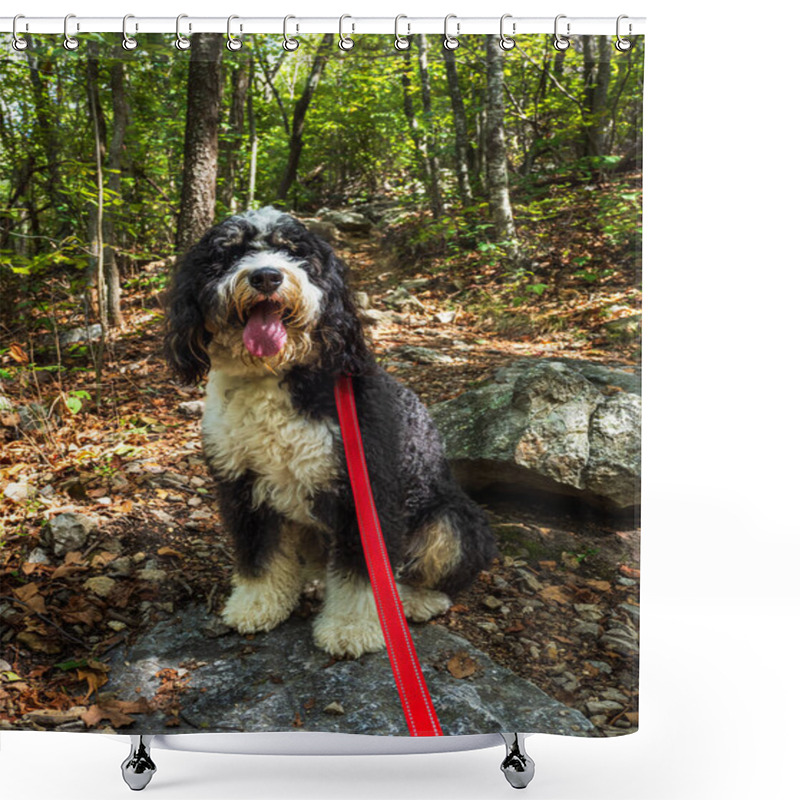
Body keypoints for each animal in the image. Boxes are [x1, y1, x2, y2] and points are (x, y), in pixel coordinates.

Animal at [166, 206, 496, 656]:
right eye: (230, 253)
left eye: (295, 251)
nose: (266, 277)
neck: (275, 376)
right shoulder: (242, 485)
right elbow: (258, 556)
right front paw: (257, 604)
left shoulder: (364, 492)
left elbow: (361, 572)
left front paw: (351, 627)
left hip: (451, 520)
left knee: (438, 573)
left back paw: (414, 600)